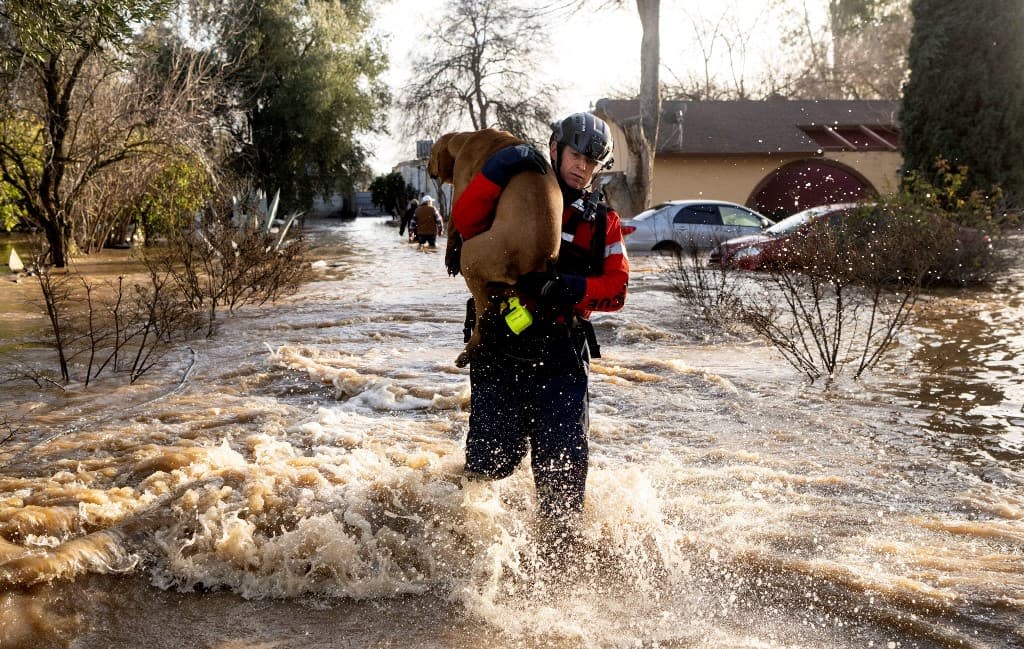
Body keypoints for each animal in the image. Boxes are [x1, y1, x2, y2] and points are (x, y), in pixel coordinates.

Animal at [430, 128, 565, 366]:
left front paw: (449, 257)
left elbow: (455, 221)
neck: (467, 137)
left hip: (472, 256)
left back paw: (469, 351)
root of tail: (536, 263)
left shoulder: (461, 183)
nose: (427, 168)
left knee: (484, 313)